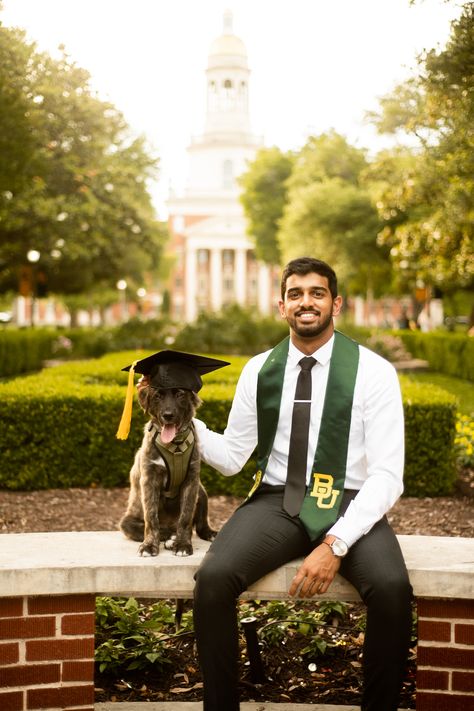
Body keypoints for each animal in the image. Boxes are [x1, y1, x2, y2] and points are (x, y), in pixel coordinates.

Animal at [119, 382, 218, 560]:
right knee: (157, 528)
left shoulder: (192, 479)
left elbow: (185, 517)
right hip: (127, 521)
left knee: (199, 525)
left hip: (201, 491)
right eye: (157, 396)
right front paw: (149, 545)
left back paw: (206, 533)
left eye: (180, 394)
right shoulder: (149, 479)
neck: (175, 445)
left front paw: (183, 545)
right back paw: (170, 537)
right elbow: (151, 518)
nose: (168, 415)